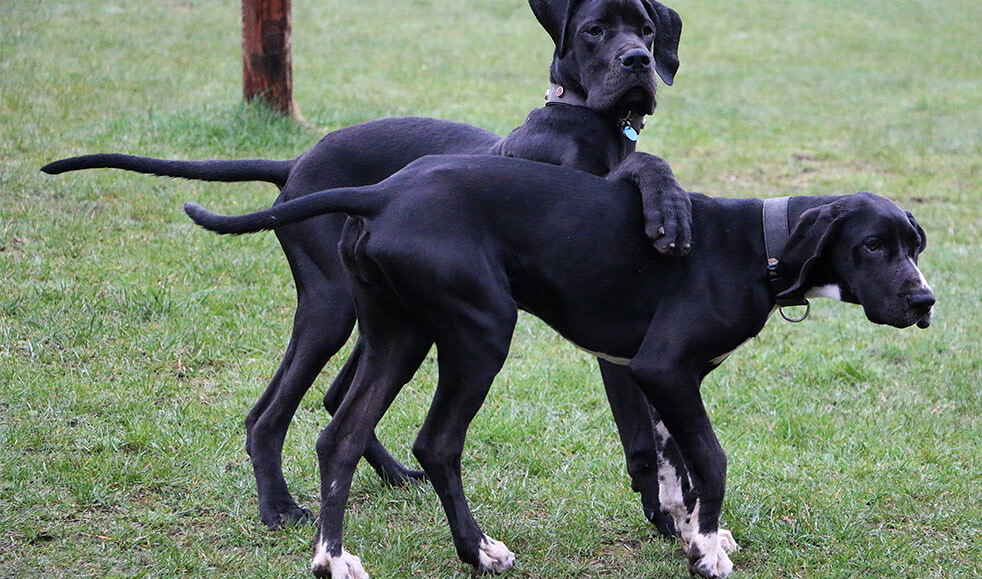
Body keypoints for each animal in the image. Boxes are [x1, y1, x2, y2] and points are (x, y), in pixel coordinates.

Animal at [44, 0, 692, 536]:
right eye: (594, 30)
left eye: (647, 29)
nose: (638, 60)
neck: (589, 122)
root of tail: (294, 165)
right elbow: (641, 434)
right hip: (332, 309)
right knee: (267, 415)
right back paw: (278, 508)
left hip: (392, 316)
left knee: (335, 399)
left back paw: (392, 475)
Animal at [190, 155, 936, 579]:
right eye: (874, 245)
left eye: (915, 244)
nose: (925, 300)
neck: (761, 244)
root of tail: (381, 194)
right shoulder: (668, 368)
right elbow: (712, 459)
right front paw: (708, 551)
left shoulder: (652, 376)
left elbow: (675, 465)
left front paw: (687, 532)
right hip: (480, 333)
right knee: (437, 443)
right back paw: (477, 552)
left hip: (395, 338)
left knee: (339, 436)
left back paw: (333, 558)